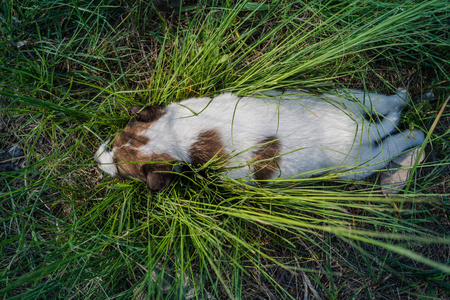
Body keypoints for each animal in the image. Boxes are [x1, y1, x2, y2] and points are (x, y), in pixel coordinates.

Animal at [95, 89, 426, 191]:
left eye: (124, 172)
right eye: (115, 141)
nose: (98, 160)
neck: (176, 135)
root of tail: (360, 128)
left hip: (356, 165)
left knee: (391, 145)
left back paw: (417, 134)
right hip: (346, 98)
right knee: (378, 101)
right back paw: (400, 98)